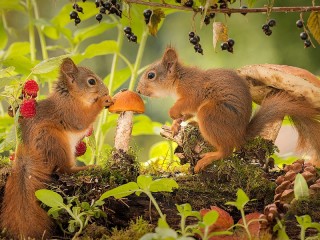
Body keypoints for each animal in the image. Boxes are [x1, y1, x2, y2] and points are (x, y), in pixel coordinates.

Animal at [0, 57, 113, 238]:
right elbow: (83, 119)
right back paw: (87, 168)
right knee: (63, 170)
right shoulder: (69, 111)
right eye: (91, 81)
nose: (106, 91)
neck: (71, 96)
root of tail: (26, 154)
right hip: (54, 141)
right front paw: (104, 101)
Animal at [136, 47, 320, 172]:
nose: (138, 90)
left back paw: (208, 158)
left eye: (151, 75)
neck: (179, 79)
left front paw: (173, 113)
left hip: (210, 114)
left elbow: (187, 104)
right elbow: (186, 113)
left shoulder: (194, 91)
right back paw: (195, 124)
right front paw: (176, 124)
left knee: (226, 150)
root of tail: (240, 134)